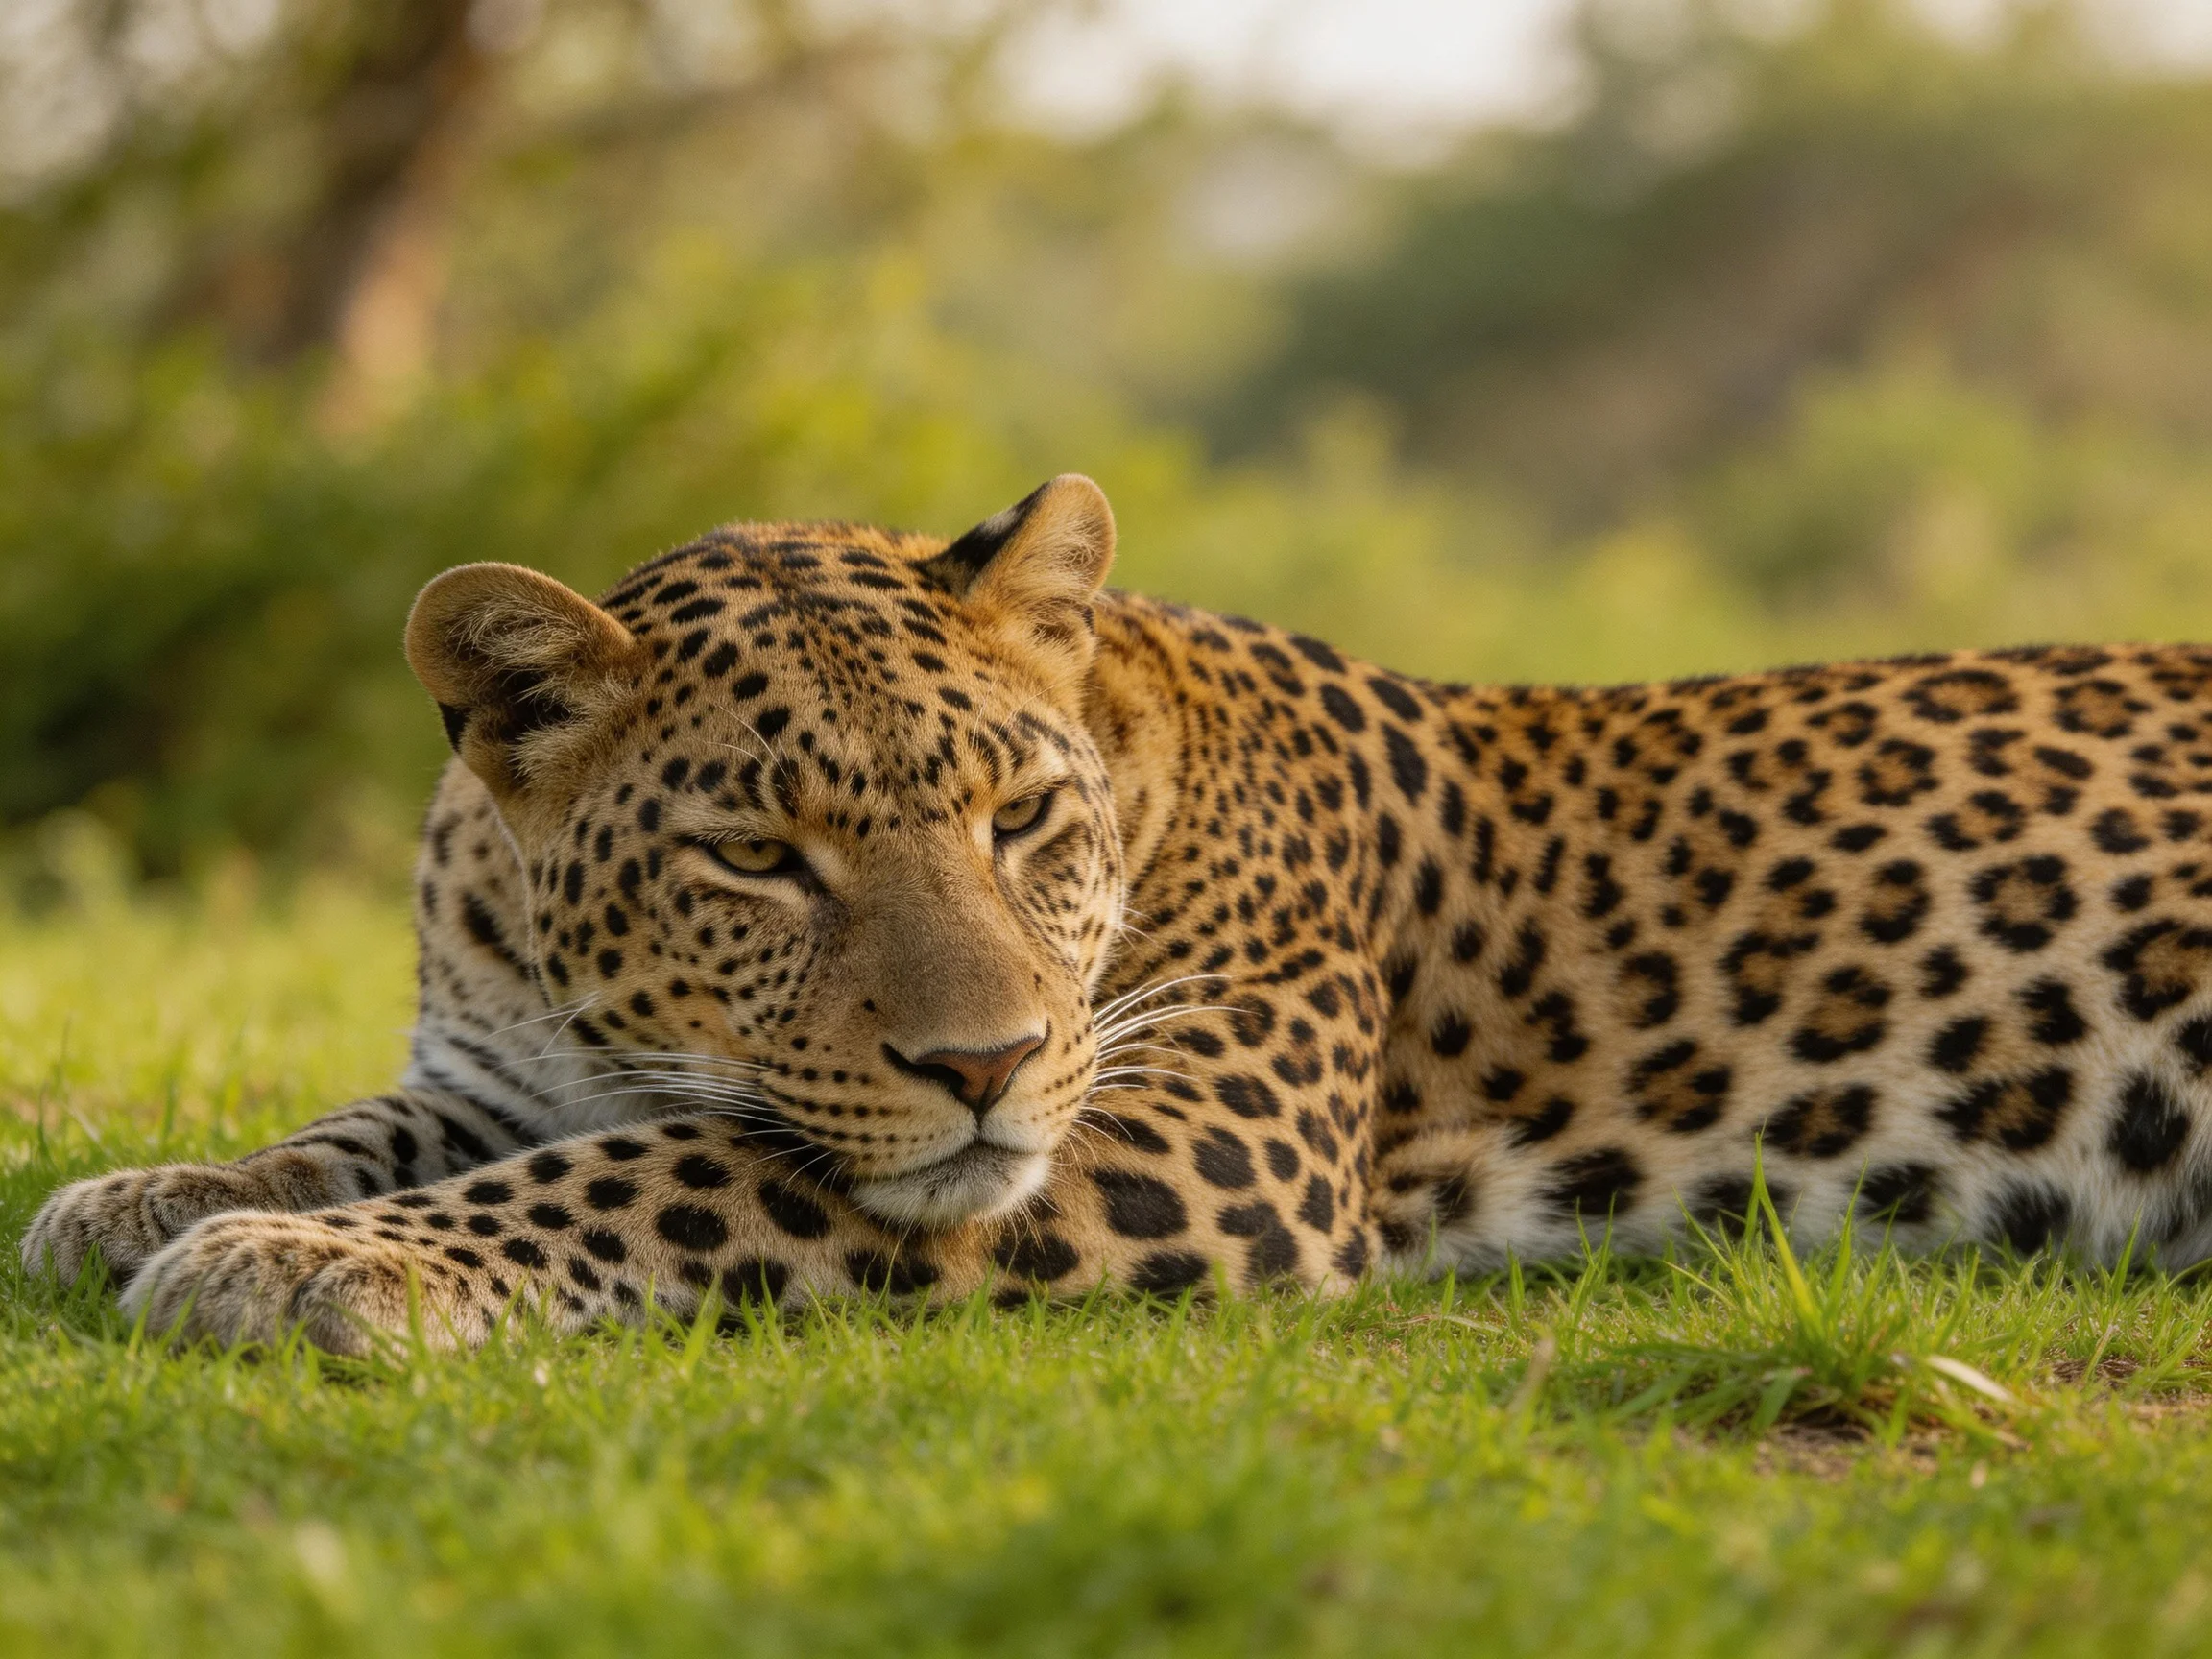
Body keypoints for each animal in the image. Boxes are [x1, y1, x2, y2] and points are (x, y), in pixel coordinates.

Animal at [25, 472, 2212, 1353]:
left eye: (1017, 820)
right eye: (757, 859)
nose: (986, 1061)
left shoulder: (1191, 1128)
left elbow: (667, 1172)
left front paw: (306, 1267)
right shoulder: (485, 1063)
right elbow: (362, 1122)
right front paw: (155, 1196)